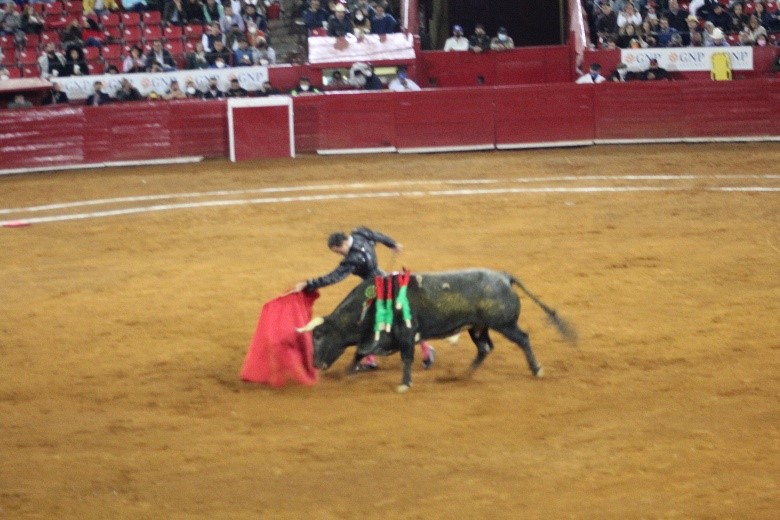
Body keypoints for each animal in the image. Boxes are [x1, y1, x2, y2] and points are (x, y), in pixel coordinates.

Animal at [296, 268, 576, 390]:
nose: (316, 363)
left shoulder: (405, 334)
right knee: (485, 348)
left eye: (318, 335)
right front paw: (345, 373)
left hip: (503, 324)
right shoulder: (383, 338)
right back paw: (463, 375)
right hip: (478, 327)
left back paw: (537, 369)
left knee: (522, 338)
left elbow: (405, 357)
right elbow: (360, 353)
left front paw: (404, 384)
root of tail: (504, 277)